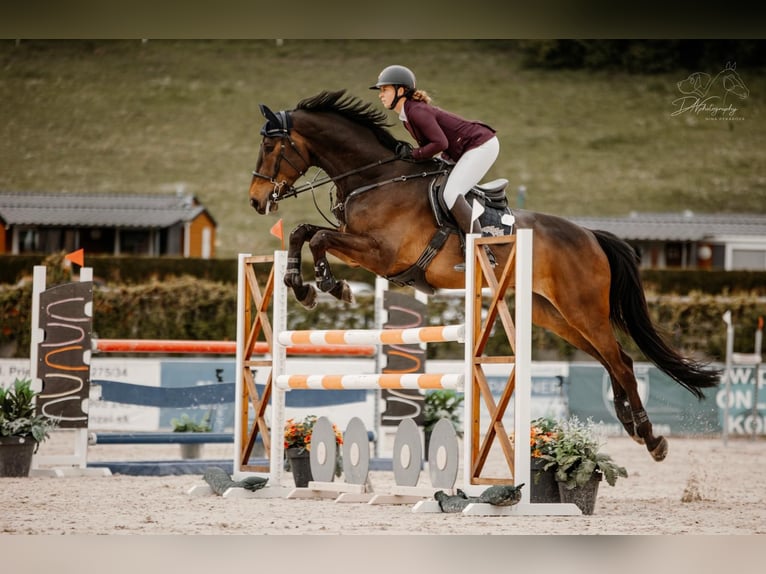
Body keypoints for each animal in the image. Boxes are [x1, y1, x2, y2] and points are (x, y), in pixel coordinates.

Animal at [248, 89, 720, 462]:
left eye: (271, 147)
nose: (255, 201)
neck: (375, 178)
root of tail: (590, 235)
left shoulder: (381, 254)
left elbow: (319, 237)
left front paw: (329, 285)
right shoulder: (363, 246)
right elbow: (303, 231)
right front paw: (299, 284)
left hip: (581, 307)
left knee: (619, 359)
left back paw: (651, 437)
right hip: (551, 313)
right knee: (612, 358)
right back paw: (631, 424)